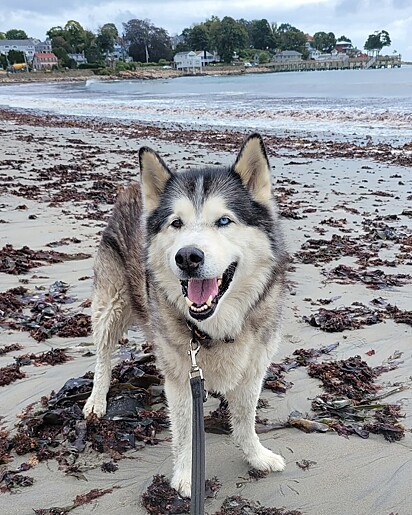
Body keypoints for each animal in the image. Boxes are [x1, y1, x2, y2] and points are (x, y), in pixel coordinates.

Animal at [83, 135, 288, 498]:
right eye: (176, 223)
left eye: (224, 221)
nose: (188, 256)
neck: (213, 327)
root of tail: (131, 190)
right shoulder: (180, 379)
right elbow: (184, 431)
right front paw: (185, 475)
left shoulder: (253, 369)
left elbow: (245, 420)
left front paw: (256, 456)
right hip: (110, 304)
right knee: (103, 354)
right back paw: (97, 397)